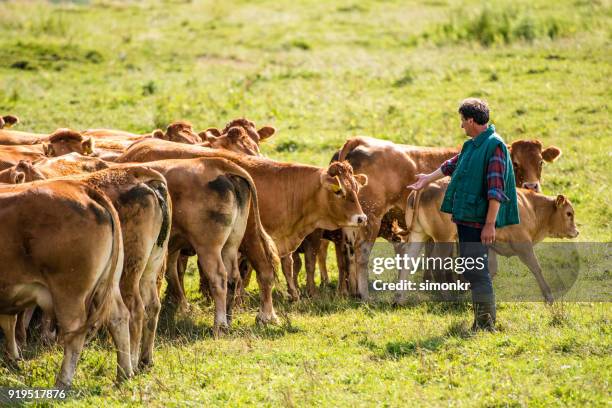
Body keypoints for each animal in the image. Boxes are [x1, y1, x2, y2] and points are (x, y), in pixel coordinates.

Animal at [0, 178, 133, 386]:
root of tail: (81, 187)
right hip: (107, 286)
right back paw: (124, 374)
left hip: (69, 293)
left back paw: (62, 382)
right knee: (118, 318)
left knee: (74, 333)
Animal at [392, 180, 580, 304]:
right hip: (444, 239)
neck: (530, 207)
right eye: (569, 213)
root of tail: (424, 188)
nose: (576, 231)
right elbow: (536, 268)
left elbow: (491, 269)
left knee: (407, 263)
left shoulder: (490, 246)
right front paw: (549, 296)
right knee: (436, 266)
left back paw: (399, 298)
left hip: (418, 235)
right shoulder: (523, 245)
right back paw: (448, 297)